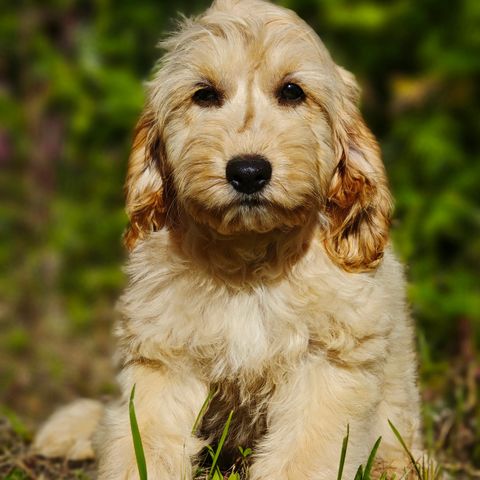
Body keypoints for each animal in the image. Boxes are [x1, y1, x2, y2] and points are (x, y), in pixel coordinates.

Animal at [33, 0, 424, 480]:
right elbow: (144, 439)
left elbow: (305, 452)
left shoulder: (328, 362)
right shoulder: (164, 357)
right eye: (204, 94)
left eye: (292, 91)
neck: (249, 258)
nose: (248, 172)